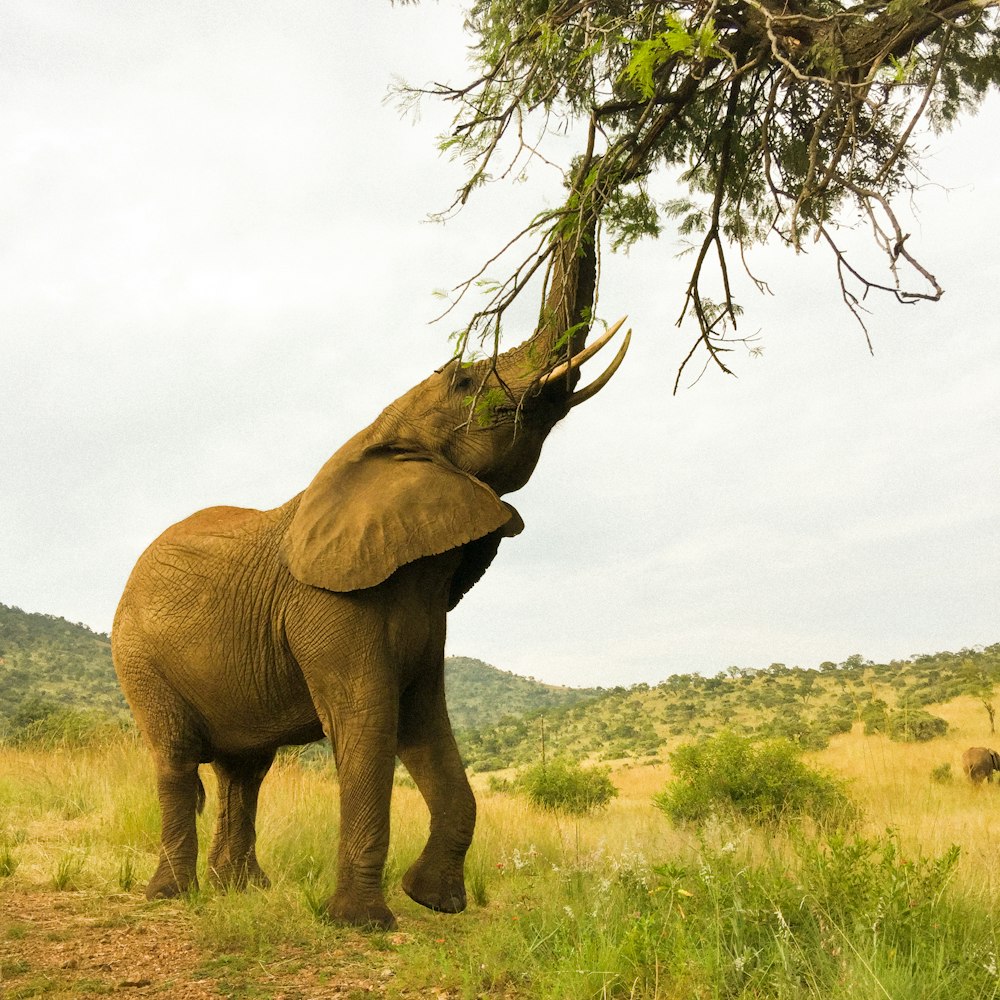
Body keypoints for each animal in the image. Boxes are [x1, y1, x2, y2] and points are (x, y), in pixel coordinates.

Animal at [113, 229, 628, 928]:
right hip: (139, 658)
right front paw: (363, 922)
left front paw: (435, 902)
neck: (376, 437)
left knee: (244, 772)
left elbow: (423, 723)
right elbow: (368, 721)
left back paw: (242, 892)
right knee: (176, 766)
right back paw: (174, 896)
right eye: (465, 380)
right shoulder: (327, 604)